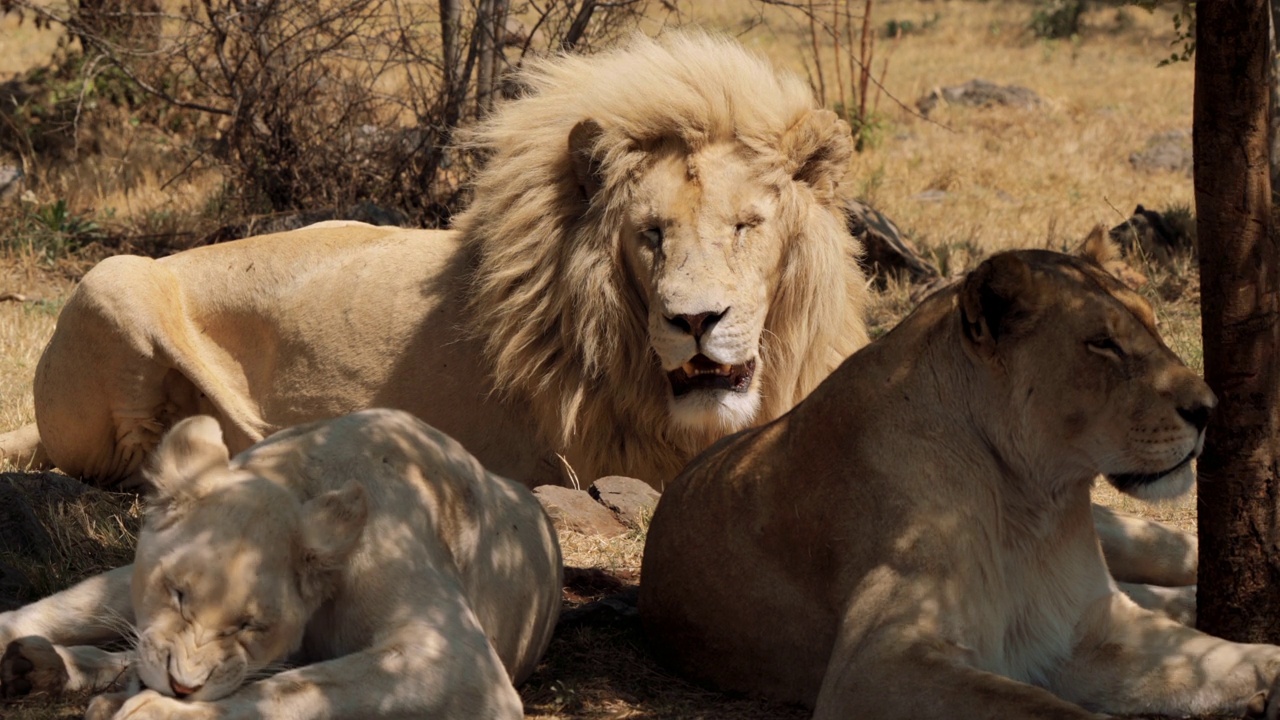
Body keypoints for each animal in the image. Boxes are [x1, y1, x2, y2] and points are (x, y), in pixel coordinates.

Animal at [0, 409, 565, 717]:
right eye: (177, 594)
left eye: (250, 626)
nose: (181, 687)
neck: (295, 476)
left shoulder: (458, 659)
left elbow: (292, 689)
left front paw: (156, 711)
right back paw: (37, 663)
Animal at [645, 249, 1280, 712]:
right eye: (1103, 343)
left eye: (1152, 326)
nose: (1208, 409)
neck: (1033, 503)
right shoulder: (877, 665)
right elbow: (1050, 712)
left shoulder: (1085, 628)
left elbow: (1226, 657)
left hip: (1128, 535)